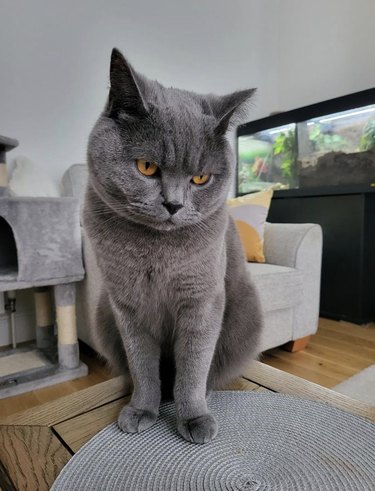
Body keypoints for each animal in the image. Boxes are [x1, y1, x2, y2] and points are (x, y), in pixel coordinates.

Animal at [84, 50, 262, 446]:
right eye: (147, 167)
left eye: (201, 177)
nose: (174, 204)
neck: (155, 251)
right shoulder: (126, 306)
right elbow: (142, 365)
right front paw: (141, 409)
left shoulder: (202, 300)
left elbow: (193, 366)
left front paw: (194, 417)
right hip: (103, 315)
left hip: (246, 313)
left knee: (211, 371)